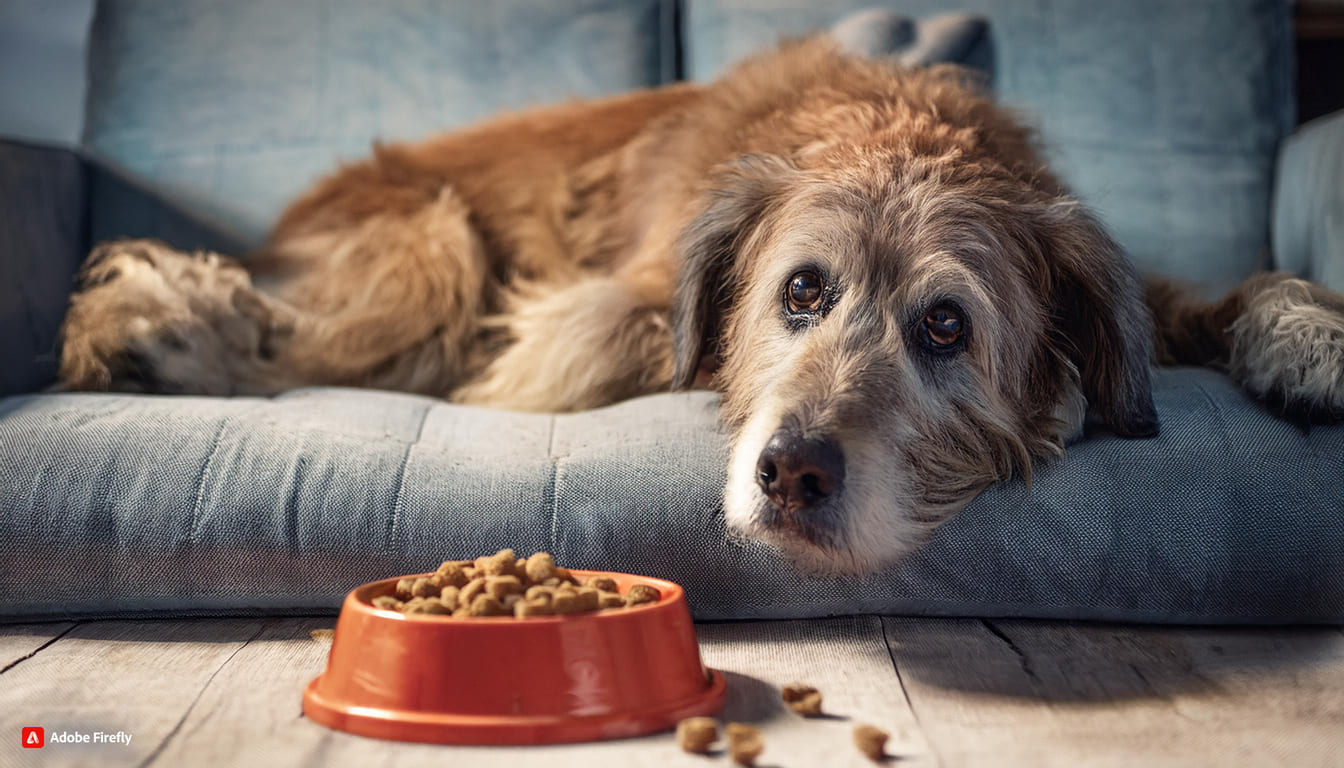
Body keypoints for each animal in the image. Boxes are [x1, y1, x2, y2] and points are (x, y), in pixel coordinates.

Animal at [57, 39, 1344, 572]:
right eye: (801, 292)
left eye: (946, 326)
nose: (793, 474)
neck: (889, 130)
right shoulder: (586, 314)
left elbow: (1226, 290)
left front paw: (1311, 336)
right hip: (433, 246)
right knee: (294, 340)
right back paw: (155, 335)